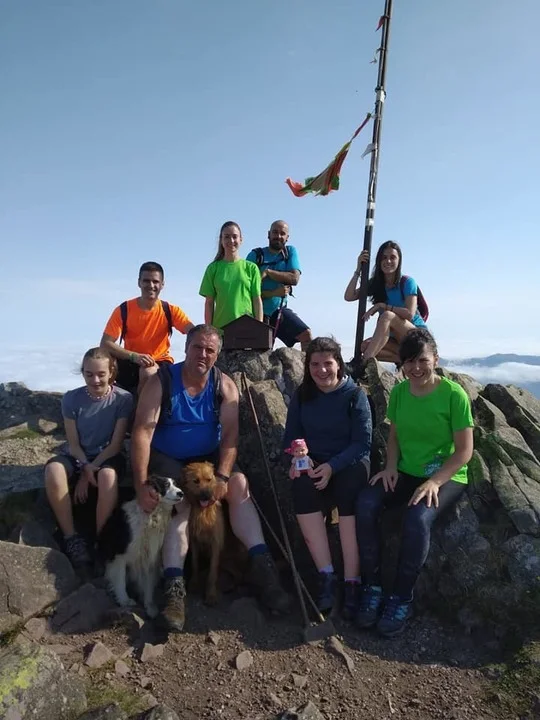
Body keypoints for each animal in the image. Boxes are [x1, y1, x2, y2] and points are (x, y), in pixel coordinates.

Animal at [98, 475, 183, 618]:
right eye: (165, 485)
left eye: (176, 484)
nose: (181, 493)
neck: (152, 515)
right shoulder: (119, 555)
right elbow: (120, 580)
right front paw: (125, 600)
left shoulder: (150, 555)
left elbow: (148, 584)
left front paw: (150, 606)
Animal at [182, 461, 227, 606]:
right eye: (195, 481)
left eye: (209, 479)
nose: (206, 496)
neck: (203, 512)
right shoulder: (194, 541)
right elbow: (195, 563)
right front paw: (194, 583)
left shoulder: (216, 543)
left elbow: (212, 572)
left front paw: (211, 594)